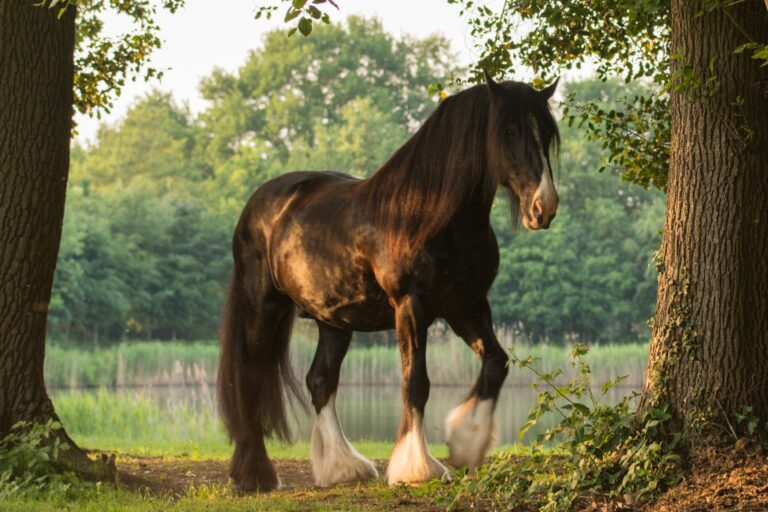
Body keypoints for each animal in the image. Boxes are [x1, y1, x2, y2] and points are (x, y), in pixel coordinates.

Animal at [216, 73, 560, 492]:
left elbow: (496, 363)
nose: (545, 206)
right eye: (509, 130)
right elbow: (416, 382)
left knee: (320, 380)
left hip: (334, 320)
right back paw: (256, 474)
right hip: (263, 308)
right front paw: (417, 467)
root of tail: (259, 202)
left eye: (546, 133)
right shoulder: (412, 306)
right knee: (250, 379)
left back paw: (342, 467)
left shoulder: (468, 306)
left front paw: (465, 443)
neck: (428, 214)